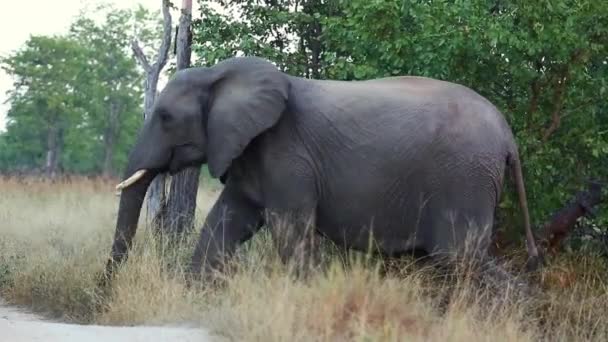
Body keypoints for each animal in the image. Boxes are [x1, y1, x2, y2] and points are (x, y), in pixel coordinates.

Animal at [105, 55, 540, 280]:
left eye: (165, 117)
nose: (105, 288)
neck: (221, 75)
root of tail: (508, 134)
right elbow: (225, 222)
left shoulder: (287, 154)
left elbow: (289, 232)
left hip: (464, 178)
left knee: (459, 259)